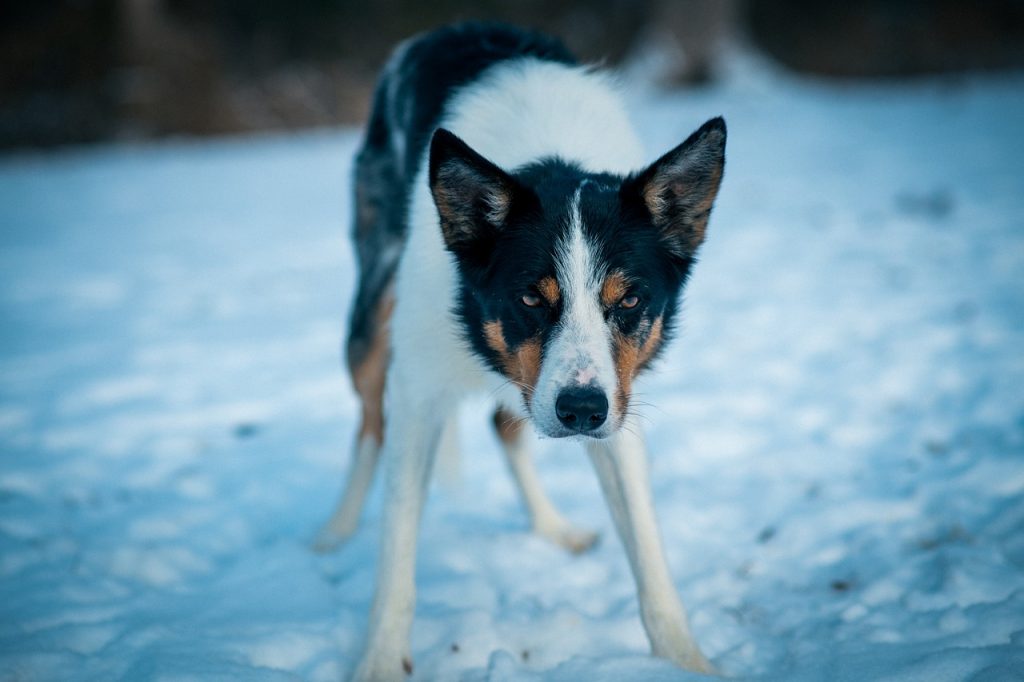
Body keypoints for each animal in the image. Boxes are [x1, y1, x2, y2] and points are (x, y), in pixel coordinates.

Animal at [315, 22, 724, 679]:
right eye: (532, 297)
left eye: (630, 300)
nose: (580, 412)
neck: (551, 160)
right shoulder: (419, 390)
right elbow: (396, 552)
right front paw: (377, 662)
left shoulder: (618, 397)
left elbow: (648, 551)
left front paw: (686, 661)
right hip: (371, 320)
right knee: (370, 422)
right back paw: (337, 529)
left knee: (501, 426)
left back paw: (554, 527)